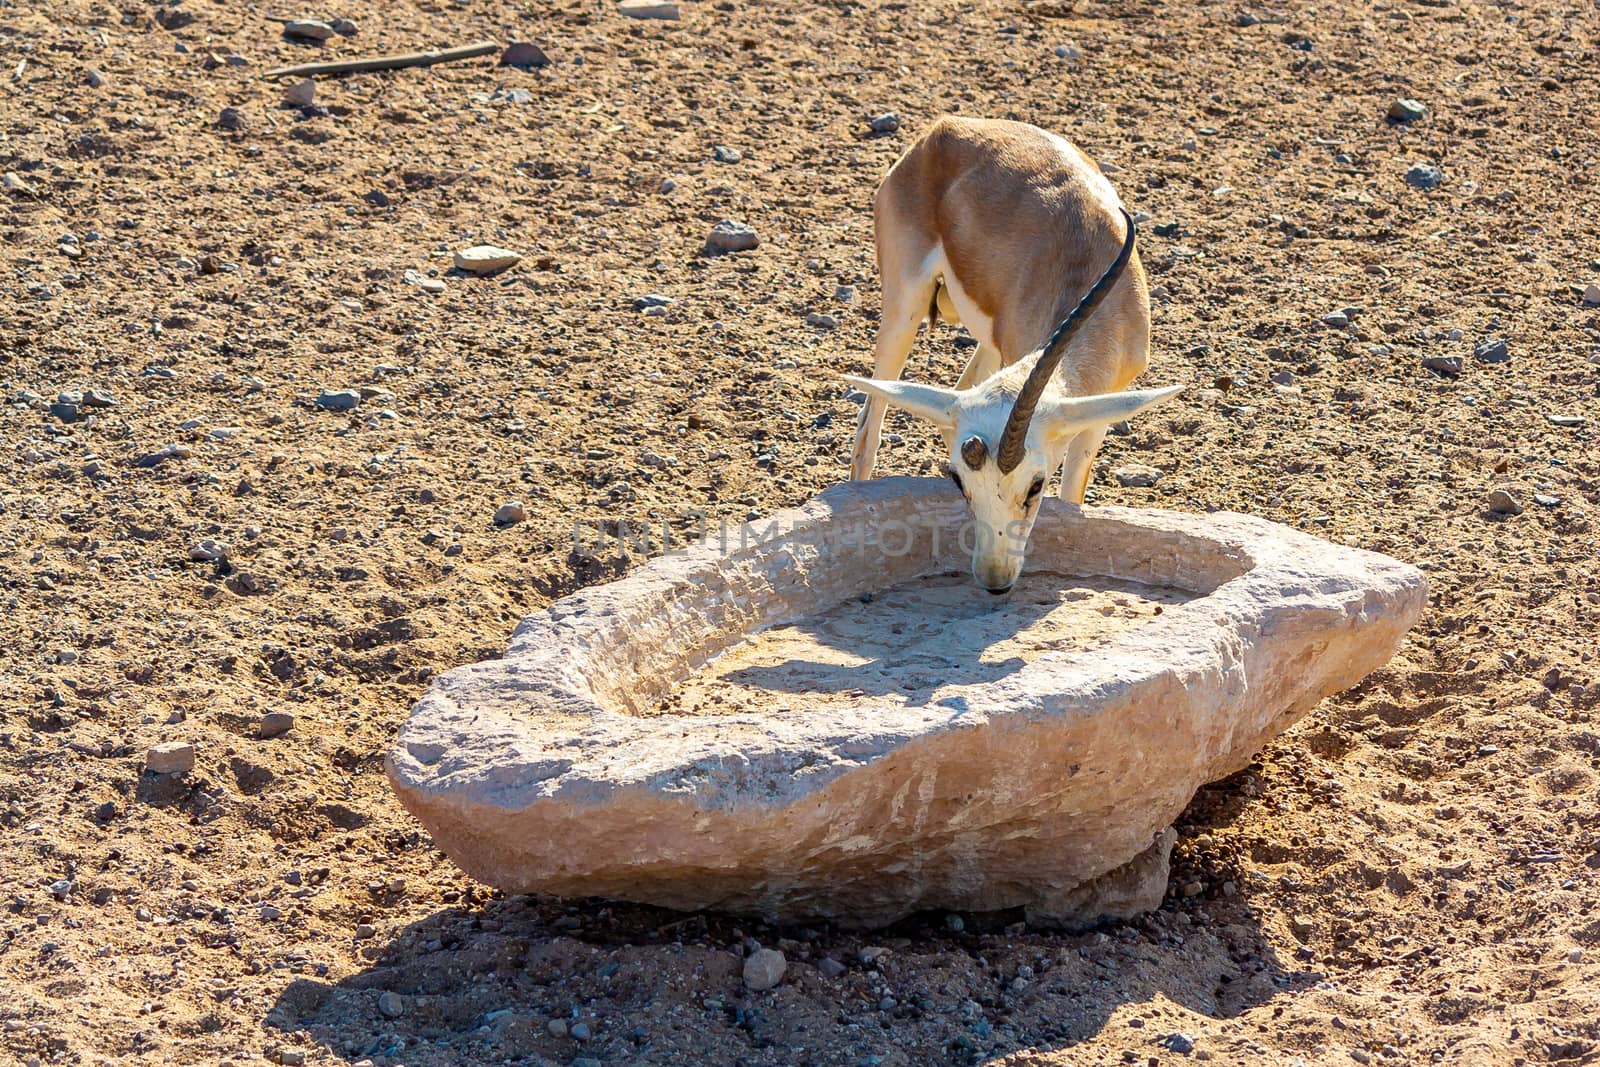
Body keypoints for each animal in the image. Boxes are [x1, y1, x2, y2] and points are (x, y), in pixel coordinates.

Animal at [844, 119, 1184, 601]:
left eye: (1036, 485)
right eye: (958, 481)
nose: (994, 581)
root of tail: (943, 129)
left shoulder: (1099, 411)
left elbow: (1073, 495)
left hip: (984, 345)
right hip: (904, 306)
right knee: (868, 428)